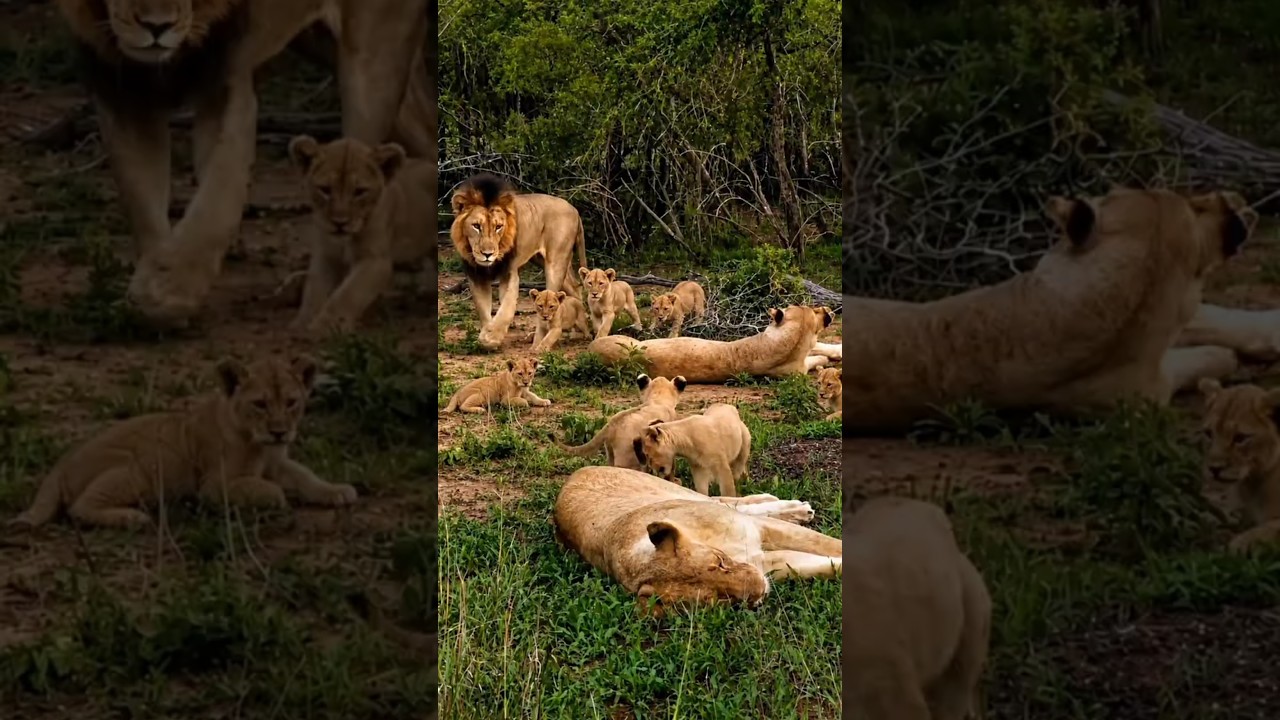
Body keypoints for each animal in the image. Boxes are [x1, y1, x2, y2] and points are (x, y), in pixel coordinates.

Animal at [7, 354, 356, 530]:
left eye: (291, 402)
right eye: (260, 404)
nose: (280, 432)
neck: (257, 442)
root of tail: (59, 466)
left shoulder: (277, 461)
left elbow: (306, 476)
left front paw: (337, 490)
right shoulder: (213, 487)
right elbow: (268, 489)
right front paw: (279, 497)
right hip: (137, 468)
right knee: (78, 508)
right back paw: (133, 518)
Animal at [287, 135, 435, 335]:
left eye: (359, 191)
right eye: (325, 189)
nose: (339, 223)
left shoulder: (375, 260)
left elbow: (347, 294)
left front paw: (326, 327)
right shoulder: (326, 256)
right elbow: (314, 289)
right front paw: (302, 323)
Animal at [451, 174, 588, 350]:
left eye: (498, 227)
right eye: (476, 226)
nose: (488, 254)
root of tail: (575, 210)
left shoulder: (510, 273)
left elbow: (505, 309)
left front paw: (492, 337)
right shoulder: (476, 276)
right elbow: (483, 310)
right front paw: (487, 335)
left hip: (556, 262)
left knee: (552, 298)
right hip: (545, 261)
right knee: (574, 290)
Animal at [553, 466, 840, 611]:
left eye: (720, 562)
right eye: (721, 599)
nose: (759, 592)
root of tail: (573, 474)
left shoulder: (761, 530)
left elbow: (827, 544)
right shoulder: (766, 563)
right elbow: (825, 565)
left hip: (675, 490)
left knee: (726, 500)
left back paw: (793, 507)